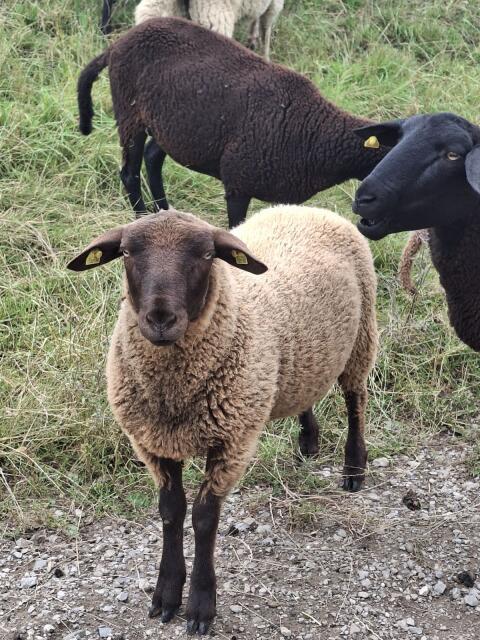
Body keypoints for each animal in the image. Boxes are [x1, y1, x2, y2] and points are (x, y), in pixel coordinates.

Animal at [67, 205, 378, 634]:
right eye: (127, 253)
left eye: (206, 255)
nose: (160, 318)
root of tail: (307, 208)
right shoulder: (153, 443)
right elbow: (171, 513)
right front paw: (166, 594)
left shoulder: (232, 442)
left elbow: (203, 519)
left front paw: (200, 606)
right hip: (304, 357)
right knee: (307, 390)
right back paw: (308, 440)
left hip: (362, 336)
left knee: (355, 400)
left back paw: (353, 468)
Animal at [77, 18, 386, 225]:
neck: (313, 130)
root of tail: (116, 44)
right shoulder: (238, 184)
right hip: (130, 115)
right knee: (129, 173)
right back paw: (142, 218)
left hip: (174, 124)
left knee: (153, 157)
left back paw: (164, 211)